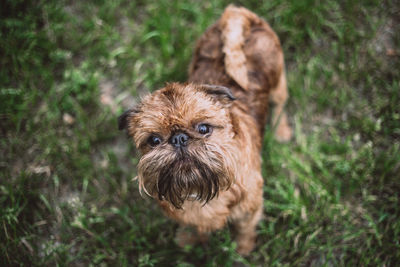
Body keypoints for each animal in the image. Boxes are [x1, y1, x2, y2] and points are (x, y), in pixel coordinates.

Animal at [118, 4, 290, 255]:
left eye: (203, 128)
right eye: (154, 140)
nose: (179, 138)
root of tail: (240, 14)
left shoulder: (250, 210)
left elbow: (245, 230)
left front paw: (243, 250)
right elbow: (191, 227)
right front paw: (188, 241)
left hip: (278, 80)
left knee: (280, 104)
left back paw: (281, 131)